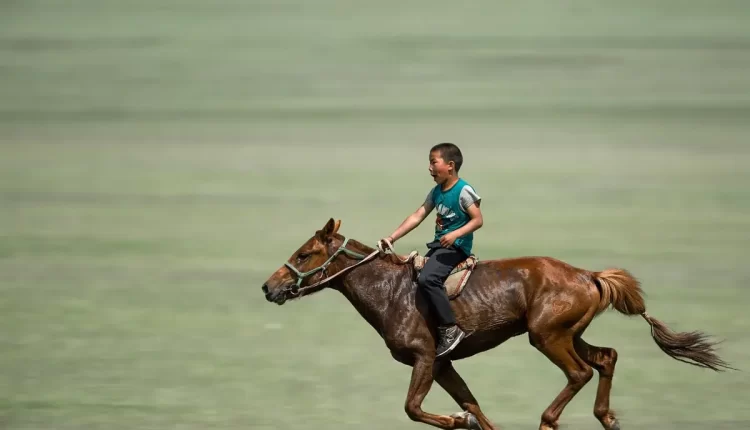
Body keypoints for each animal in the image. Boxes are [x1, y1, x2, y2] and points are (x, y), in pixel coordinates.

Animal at [261, 218, 731, 430]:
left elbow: (415, 408)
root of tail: (589, 276)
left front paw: (457, 422)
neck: (390, 291)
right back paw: (608, 418)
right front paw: (468, 420)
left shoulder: (425, 358)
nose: (269, 287)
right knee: (607, 357)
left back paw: (550, 420)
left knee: (580, 372)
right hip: (568, 333)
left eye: (305, 253)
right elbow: (473, 405)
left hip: (547, 336)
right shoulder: (444, 364)